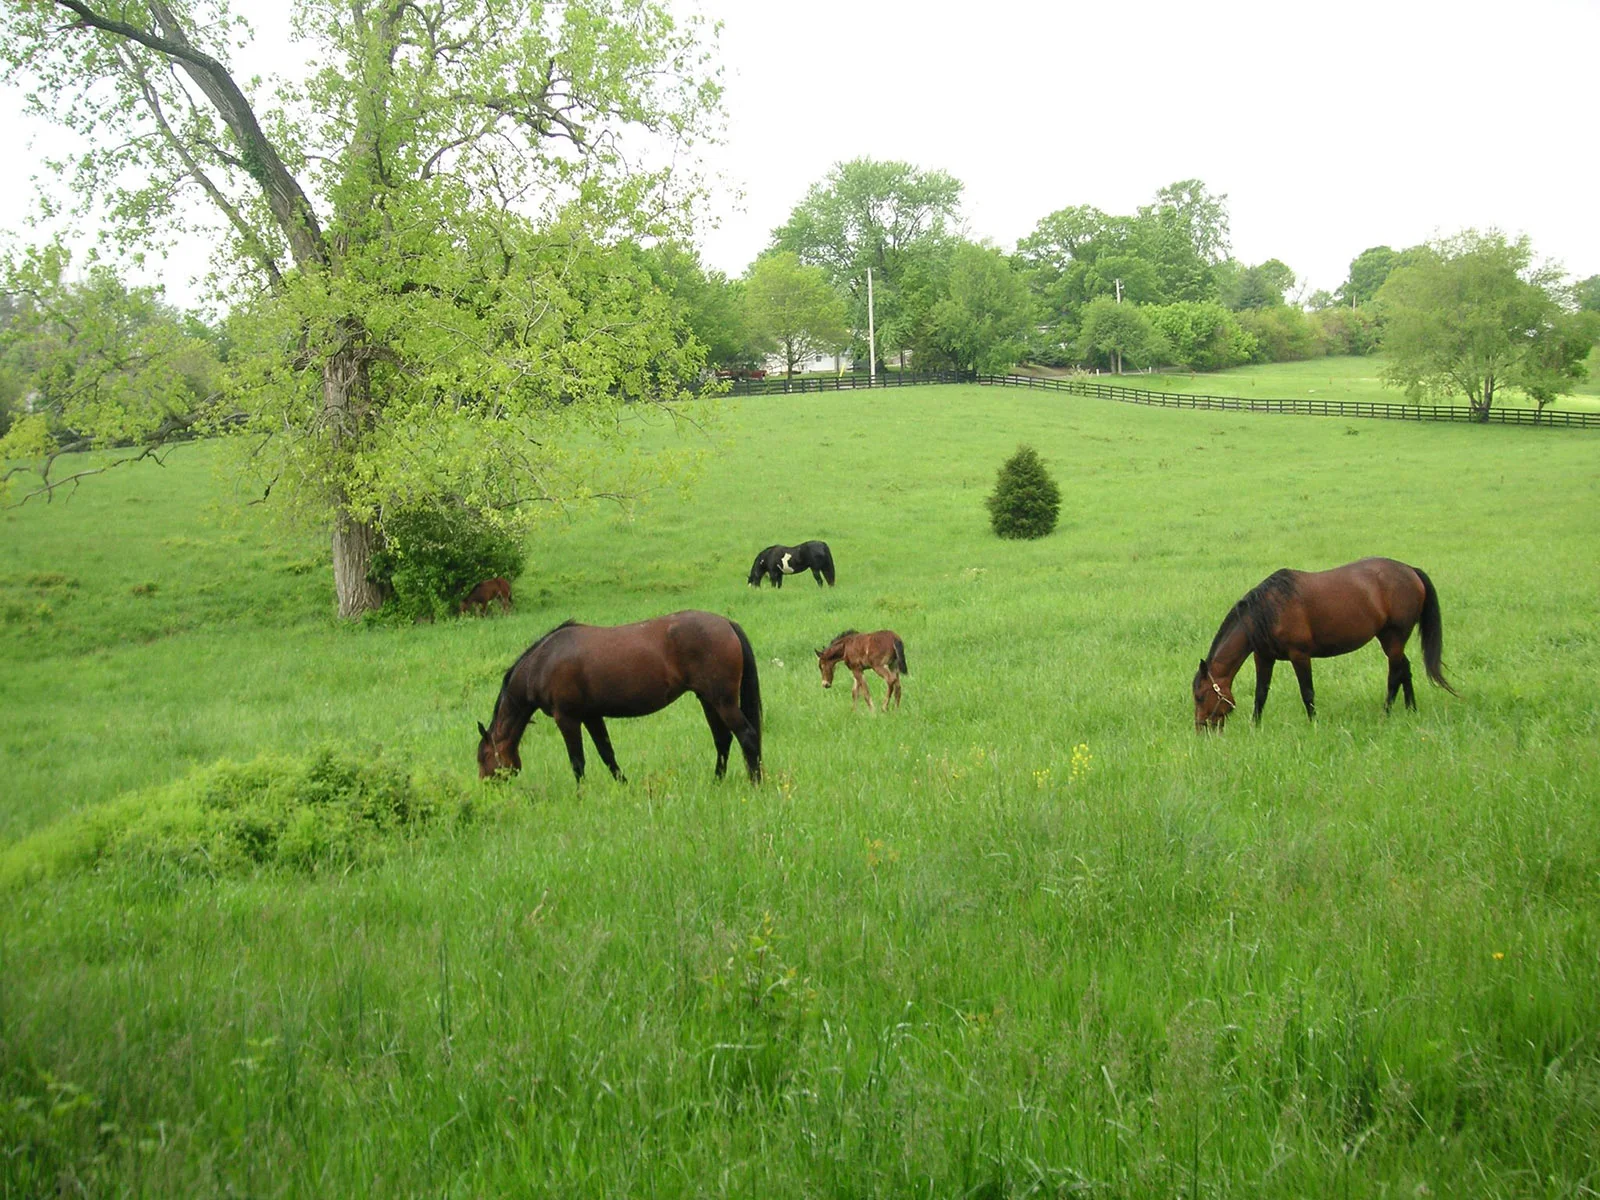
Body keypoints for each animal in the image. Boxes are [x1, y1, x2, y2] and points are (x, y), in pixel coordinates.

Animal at [477, 611, 762, 783]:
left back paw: (755, 783)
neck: (543, 662)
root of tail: (726, 623)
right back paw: (717, 782)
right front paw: (624, 786)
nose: (487, 788)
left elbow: (577, 762)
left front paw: (580, 798)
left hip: (722, 701)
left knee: (747, 735)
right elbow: (607, 754)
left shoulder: (567, 718)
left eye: (483, 757)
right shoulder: (591, 715)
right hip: (708, 700)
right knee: (723, 740)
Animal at [1192, 557, 1456, 731]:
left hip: (1394, 637)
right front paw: (1255, 726)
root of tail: (1411, 570)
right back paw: (1411, 709)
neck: (1267, 611)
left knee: (1394, 675)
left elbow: (1307, 692)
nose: (1202, 728)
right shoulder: (1264, 657)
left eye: (1200, 696)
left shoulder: (1300, 655)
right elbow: (1261, 693)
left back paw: (1386, 714)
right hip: (1390, 639)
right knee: (1405, 669)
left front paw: (1313, 723)